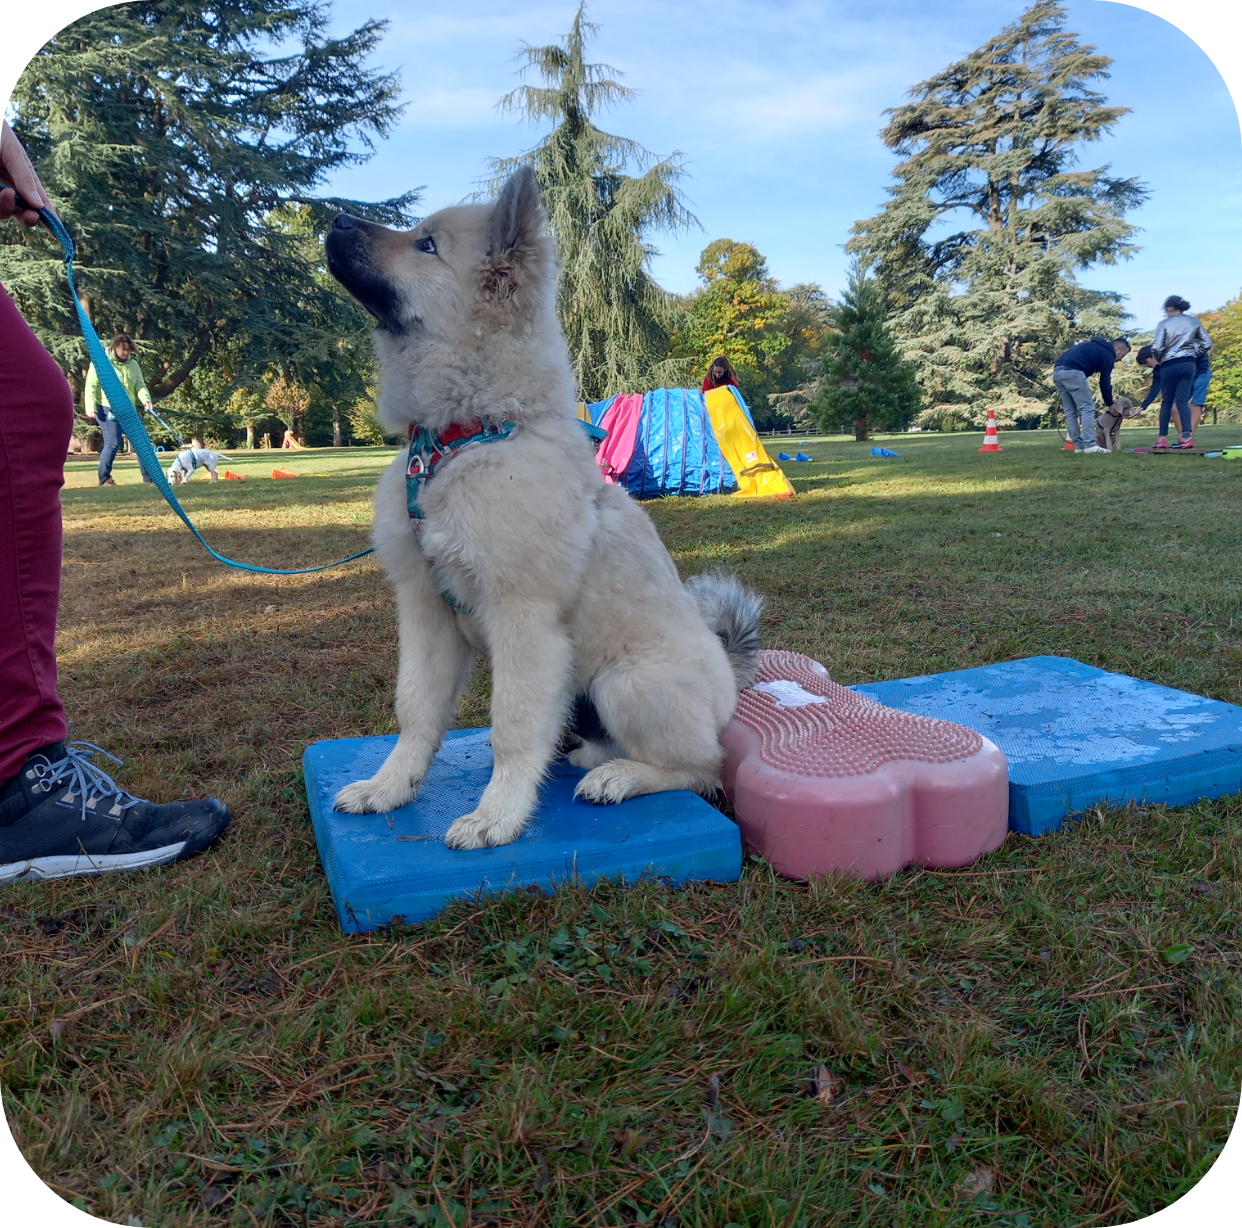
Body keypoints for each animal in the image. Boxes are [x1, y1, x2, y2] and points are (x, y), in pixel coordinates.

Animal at [325, 167, 760, 849]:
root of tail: (730, 681)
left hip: (625, 682)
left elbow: (512, 725)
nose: (334, 218)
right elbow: (416, 711)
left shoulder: (522, 619)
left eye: (426, 245)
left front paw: (496, 816)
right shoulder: (424, 614)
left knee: (702, 767)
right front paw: (389, 787)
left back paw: (621, 777)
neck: (468, 437)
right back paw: (588, 757)